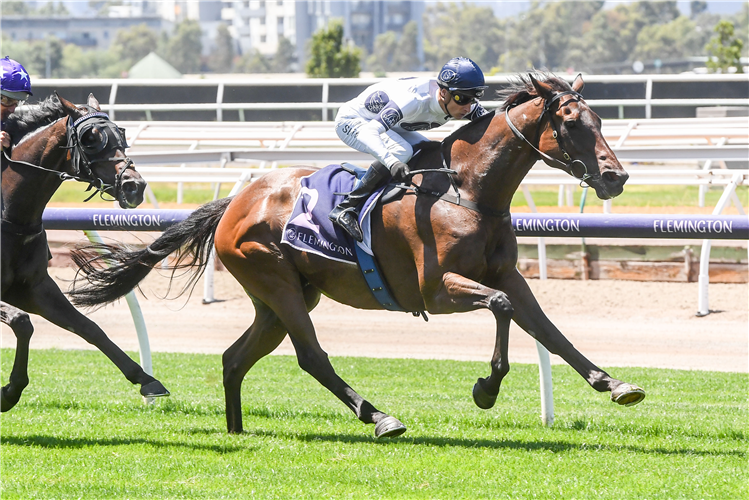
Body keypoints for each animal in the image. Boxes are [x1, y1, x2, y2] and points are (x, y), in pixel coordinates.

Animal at [0, 92, 169, 412]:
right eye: (91, 139)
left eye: (121, 134)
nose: (135, 186)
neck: (10, 215)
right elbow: (21, 322)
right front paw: (8, 392)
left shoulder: (33, 288)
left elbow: (88, 327)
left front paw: (146, 379)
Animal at [68, 74, 644, 438]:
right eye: (572, 123)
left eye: (599, 119)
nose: (615, 176)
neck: (467, 188)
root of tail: (237, 201)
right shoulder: (437, 289)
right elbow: (502, 308)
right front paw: (486, 387)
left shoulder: (504, 273)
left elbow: (546, 327)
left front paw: (614, 384)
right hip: (276, 282)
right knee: (310, 356)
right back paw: (379, 416)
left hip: (282, 297)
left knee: (236, 358)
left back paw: (236, 431)